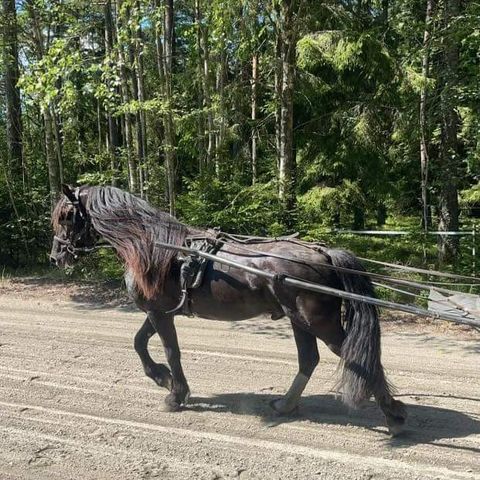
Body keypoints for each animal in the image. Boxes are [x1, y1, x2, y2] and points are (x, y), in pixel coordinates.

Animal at [50, 184, 406, 436]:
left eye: (66, 216)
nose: (56, 256)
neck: (155, 246)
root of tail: (324, 253)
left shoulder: (159, 313)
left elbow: (170, 351)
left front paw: (175, 394)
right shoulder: (161, 311)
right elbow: (139, 343)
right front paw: (162, 379)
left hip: (319, 322)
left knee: (358, 359)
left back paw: (394, 416)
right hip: (300, 321)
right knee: (309, 360)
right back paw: (285, 405)